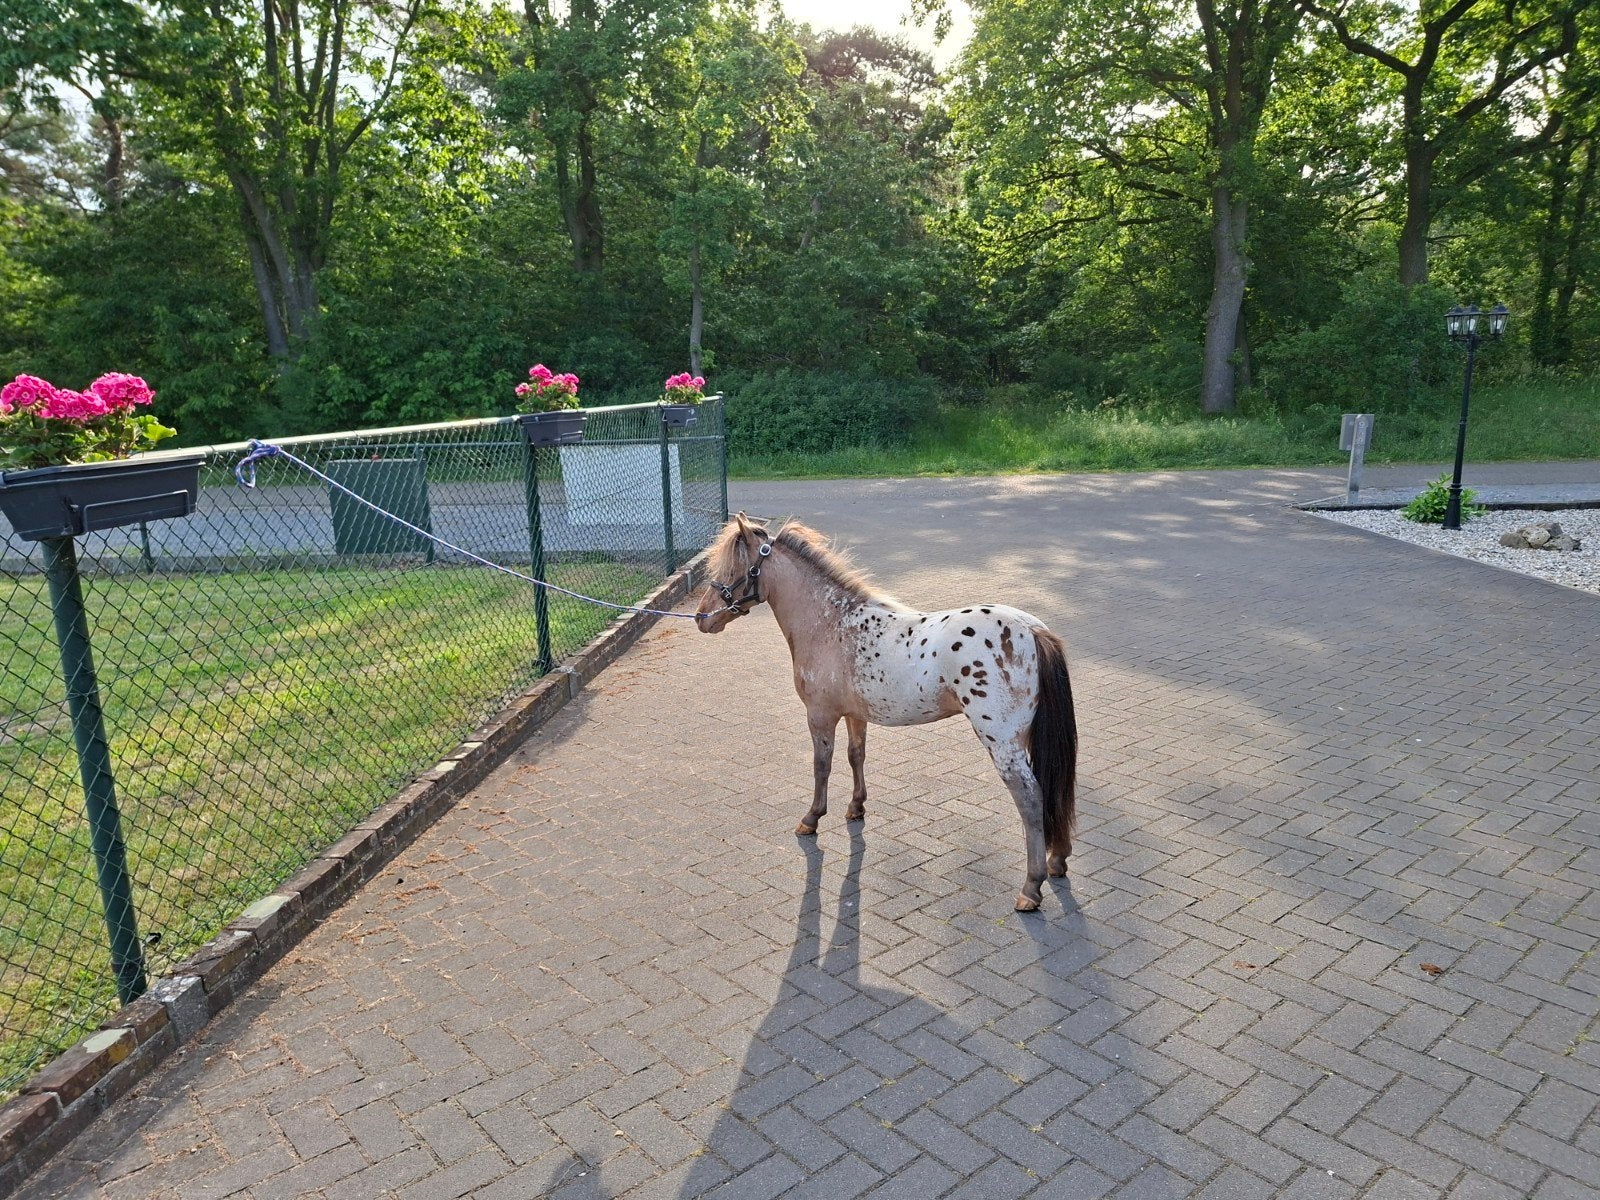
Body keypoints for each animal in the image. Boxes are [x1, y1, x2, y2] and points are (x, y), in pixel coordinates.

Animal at [694, 513, 1079, 912]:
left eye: (735, 568)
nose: (702, 617)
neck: (831, 623)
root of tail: (1033, 631)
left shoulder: (820, 715)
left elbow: (821, 766)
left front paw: (812, 818)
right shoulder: (854, 715)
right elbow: (855, 755)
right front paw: (856, 807)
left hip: (1001, 741)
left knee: (1030, 797)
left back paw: (1031, 888)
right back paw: (1057, 861)